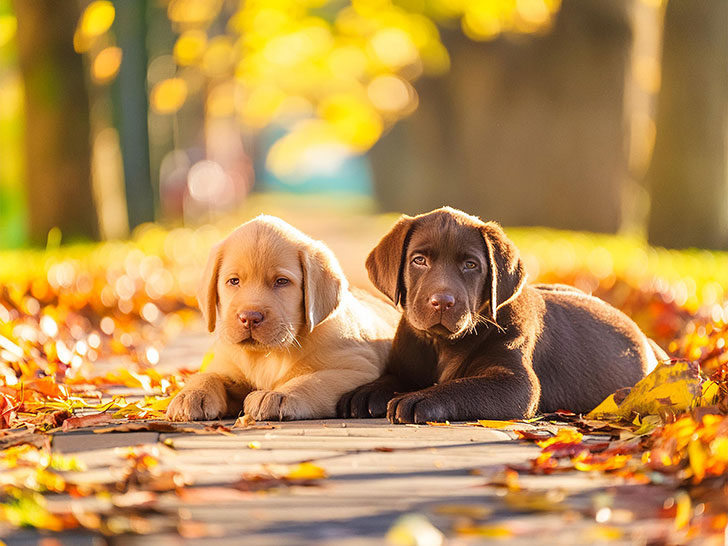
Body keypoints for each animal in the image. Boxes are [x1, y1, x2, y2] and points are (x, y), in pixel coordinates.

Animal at [166, 215, 398, 418]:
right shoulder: (226, 365)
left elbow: (314, 381)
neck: (266, 356)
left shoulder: (356, 368)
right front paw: (192, 395)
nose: (250, 317)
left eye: (281, 281)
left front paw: (278, 395)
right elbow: (208, 374)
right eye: (233, 281)